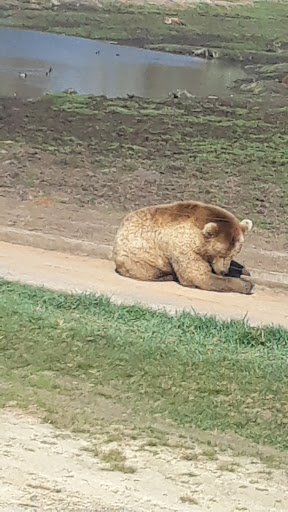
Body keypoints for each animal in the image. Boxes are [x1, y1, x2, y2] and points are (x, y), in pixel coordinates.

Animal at [112, 201, 252, 296]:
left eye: (233, 254)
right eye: (220, 253)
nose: (223, 271)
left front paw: (243, 270)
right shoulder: (184, 245)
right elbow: (198, 275)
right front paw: (246, 285)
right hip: (140, 258)